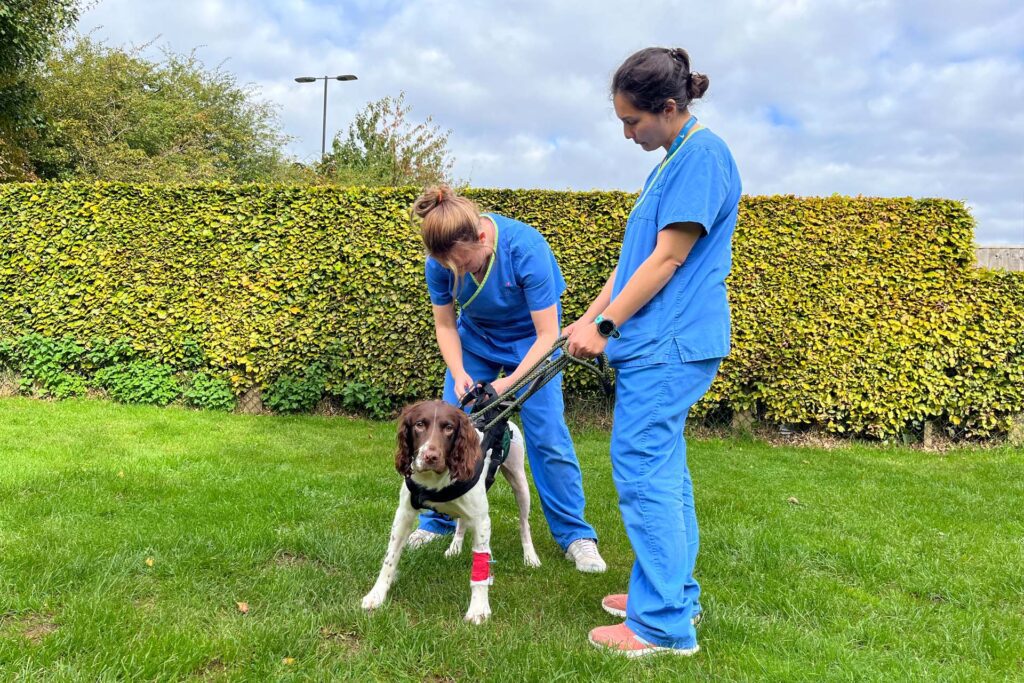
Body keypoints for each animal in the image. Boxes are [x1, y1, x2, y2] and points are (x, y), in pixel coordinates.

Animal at [360, 401, 540, 626]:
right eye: (419, 424)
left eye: (448, 428)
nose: (430, 457)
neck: (434, 481)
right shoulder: (404, 514)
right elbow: (390, 558)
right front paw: (376, 595)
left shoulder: (482, 520)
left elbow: (480, 569)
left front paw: (478, 608)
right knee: (462, 523)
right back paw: (454, 548)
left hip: (519, 483)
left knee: (524, 523)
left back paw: (530, 556)